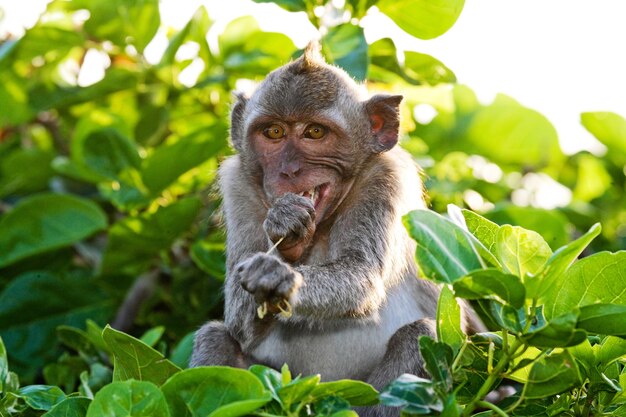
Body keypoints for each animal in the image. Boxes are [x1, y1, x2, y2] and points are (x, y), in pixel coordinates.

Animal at [190, 43, 478, 406]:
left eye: (315, 132)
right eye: (274, 132)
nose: (288, 170)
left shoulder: (384, 179)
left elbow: (361, 275)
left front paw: (281, 276)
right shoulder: (237, 184)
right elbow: (239, 323)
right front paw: (285, 234)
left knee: (419, 336)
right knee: (215, 336)